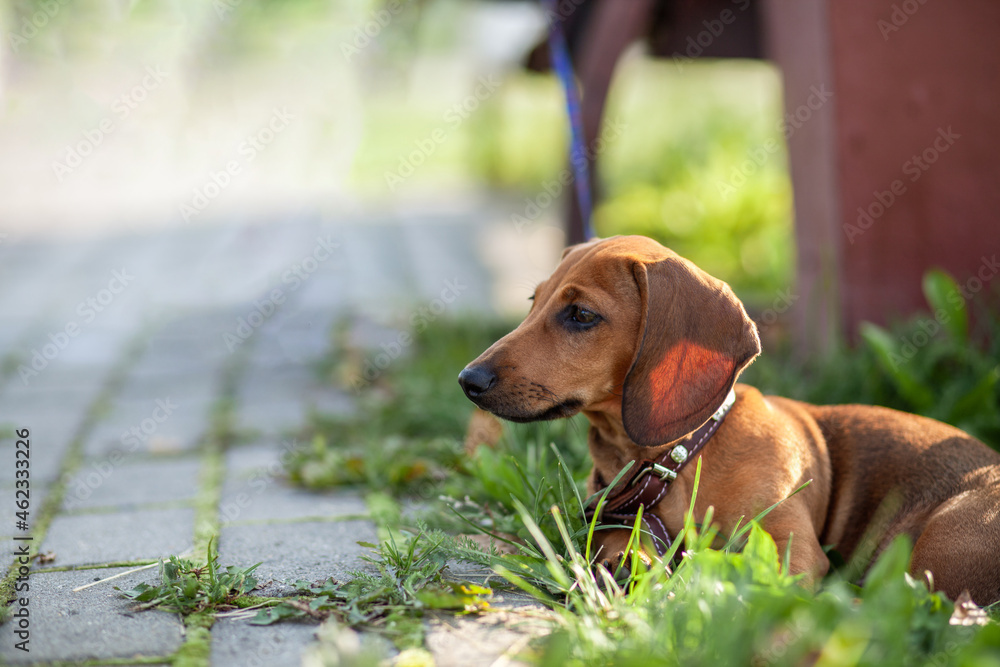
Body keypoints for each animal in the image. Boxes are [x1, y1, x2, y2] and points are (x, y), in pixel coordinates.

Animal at [458, 235, 1000, 604]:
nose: (468, 379)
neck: (677, 459)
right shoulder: (619, 516)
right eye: (533, 303)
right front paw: (627, 563)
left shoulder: (787, 545)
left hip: (940, 547)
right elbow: (619, 539)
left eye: (581, 315)